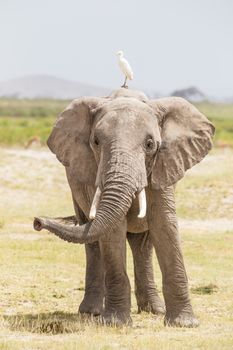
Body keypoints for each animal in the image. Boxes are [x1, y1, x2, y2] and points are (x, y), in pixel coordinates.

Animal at [34, 88, 215, 328]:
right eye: (96, 142)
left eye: (150, 144)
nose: (37, 221)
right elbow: (113, 231)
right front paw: (115, 323)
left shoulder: (163, 166)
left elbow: (164, 225)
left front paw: (183, 324)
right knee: (92, 241)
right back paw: (92, 312)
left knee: (143, 244)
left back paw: (153, 310)